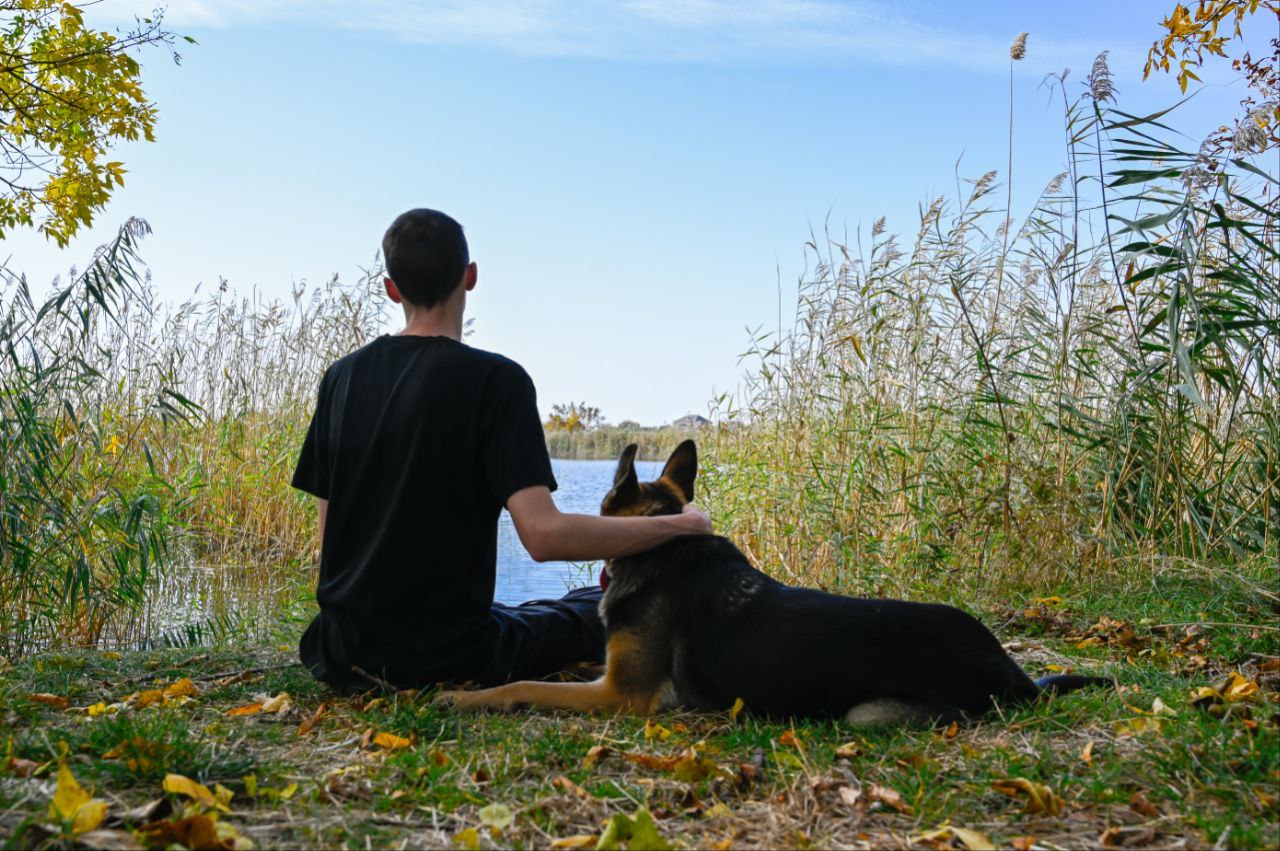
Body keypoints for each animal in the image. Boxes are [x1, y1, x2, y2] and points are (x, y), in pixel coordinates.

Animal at [435, 437, 1105, 721]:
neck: (660, 545)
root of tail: (1015, 675)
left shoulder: (621, 695)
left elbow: (521, 683)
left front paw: (461, 695)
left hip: (869, 714)